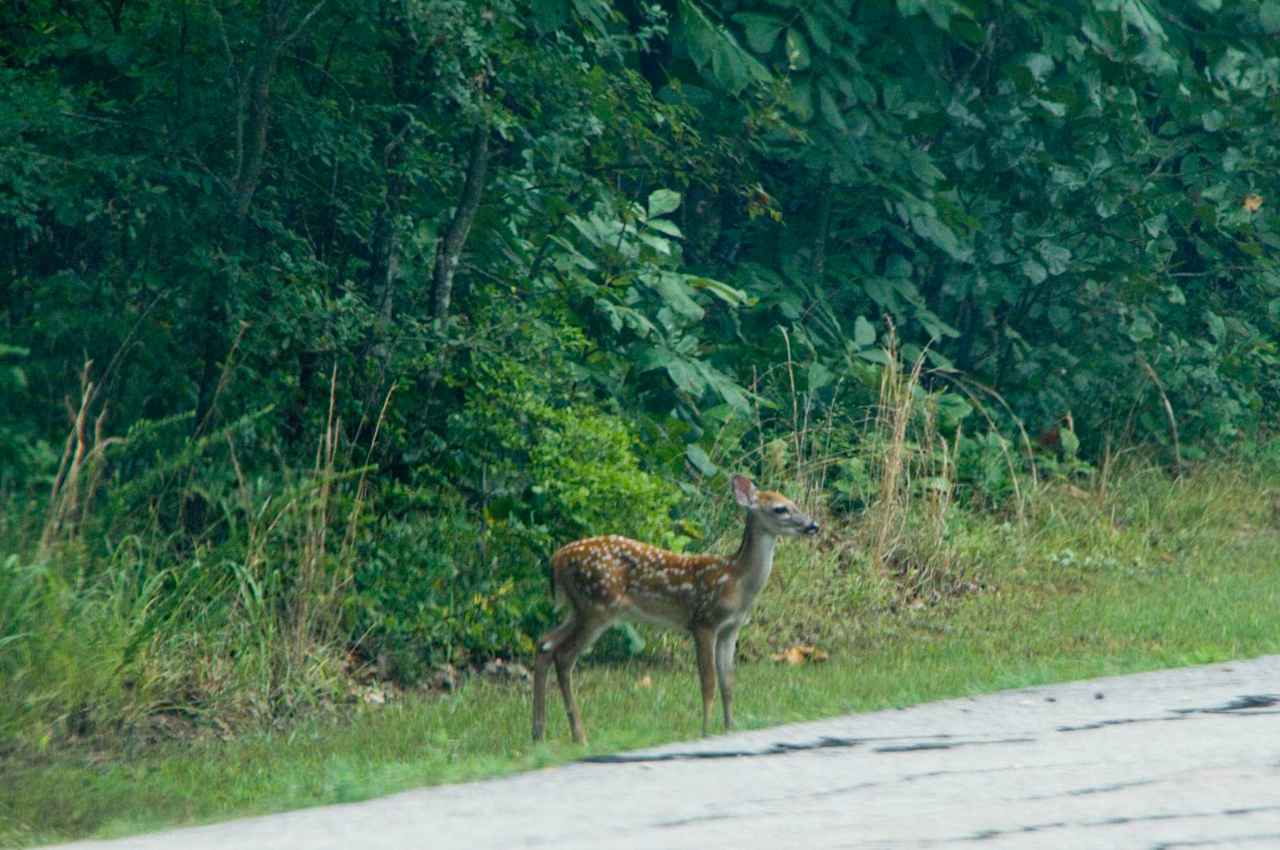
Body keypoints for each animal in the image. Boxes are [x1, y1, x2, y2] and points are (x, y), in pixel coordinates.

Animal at [532, 478, 819, 742]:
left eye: (794, 503)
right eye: (780, 509)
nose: (813, 525)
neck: (736, 580)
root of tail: (556, 559)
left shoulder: (731, 629)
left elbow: (728, 683)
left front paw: (730, 728)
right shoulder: (703, 621)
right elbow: (708, 683)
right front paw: (706, 731)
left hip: (579, 608)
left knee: (544, 643)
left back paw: (539, 734)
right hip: (598, 607)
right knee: (563, 656)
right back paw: (579, 735)